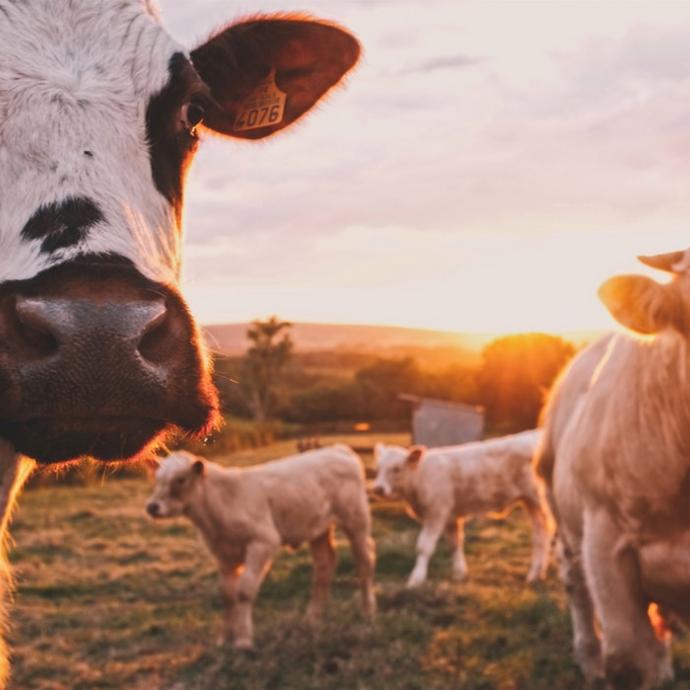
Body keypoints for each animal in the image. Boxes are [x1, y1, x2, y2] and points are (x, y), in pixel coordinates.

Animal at [145, 446, 376, 652]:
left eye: (180, 479)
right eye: (157, 478)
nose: (152, 507)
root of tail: (338, 449)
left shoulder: (263, 541)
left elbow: (244, 591)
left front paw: (243, 640)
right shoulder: (223, 554)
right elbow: (226, 594)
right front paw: (224, 639)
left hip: (356, 518)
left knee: (364, 560)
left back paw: (367, 611)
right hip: (318, 528)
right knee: (324, 565)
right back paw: (312, 618)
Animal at [370, 430, 548, 584]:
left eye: (396, 469)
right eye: (378, 468)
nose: (378, 488)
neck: (420, 477)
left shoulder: (436, 513)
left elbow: (424, 546)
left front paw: (416, 578)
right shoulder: (450, 516)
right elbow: (455, 543)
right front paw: (459, 572)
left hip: (540, 499)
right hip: (531, 502)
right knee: (541, 533)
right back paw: (536, 574)